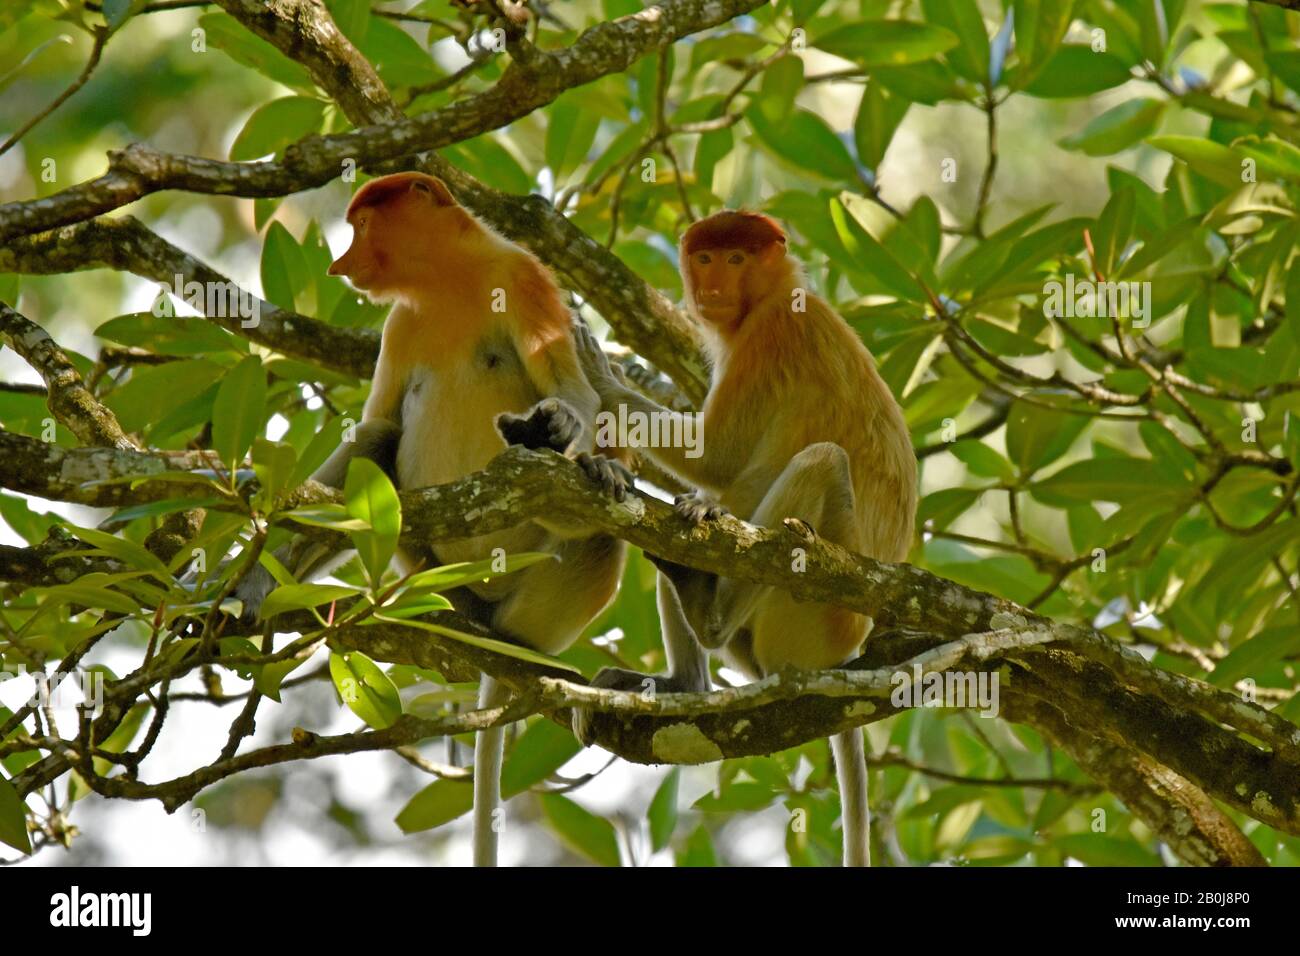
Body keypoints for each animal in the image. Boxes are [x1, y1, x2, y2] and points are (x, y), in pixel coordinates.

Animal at [232, 172, 630, 867]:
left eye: (362, 225)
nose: (342, 263)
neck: (452, 281)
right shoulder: (401, 324)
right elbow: (379, 427)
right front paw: (254, 579)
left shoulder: (524, 277)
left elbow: (578, 394)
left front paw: (563, 431)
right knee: (379, 450)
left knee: (595, 534)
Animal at [570, 210, 916, 867]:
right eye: (705, 258)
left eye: (736, 259)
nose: (710, 288)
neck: (779, 290)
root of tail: (847, 654)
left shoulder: (772, 331)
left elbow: (720, 458)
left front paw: (601, 374)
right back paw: (685, 674)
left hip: (815, 619)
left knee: (820, 461)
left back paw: (709, 613)